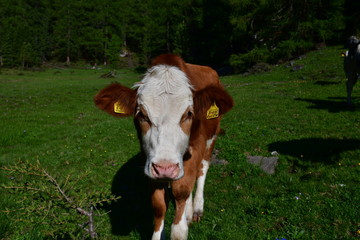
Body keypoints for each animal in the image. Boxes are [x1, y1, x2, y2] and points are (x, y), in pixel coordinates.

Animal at [94, 54, 233, 240]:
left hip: (212, 137)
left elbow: (182, 191)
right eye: (141, 114)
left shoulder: (196, 147)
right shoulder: (150, 160)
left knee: (202, 169)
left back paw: (196, 208)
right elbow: (159, 204)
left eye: (189, 113)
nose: (166, 168)